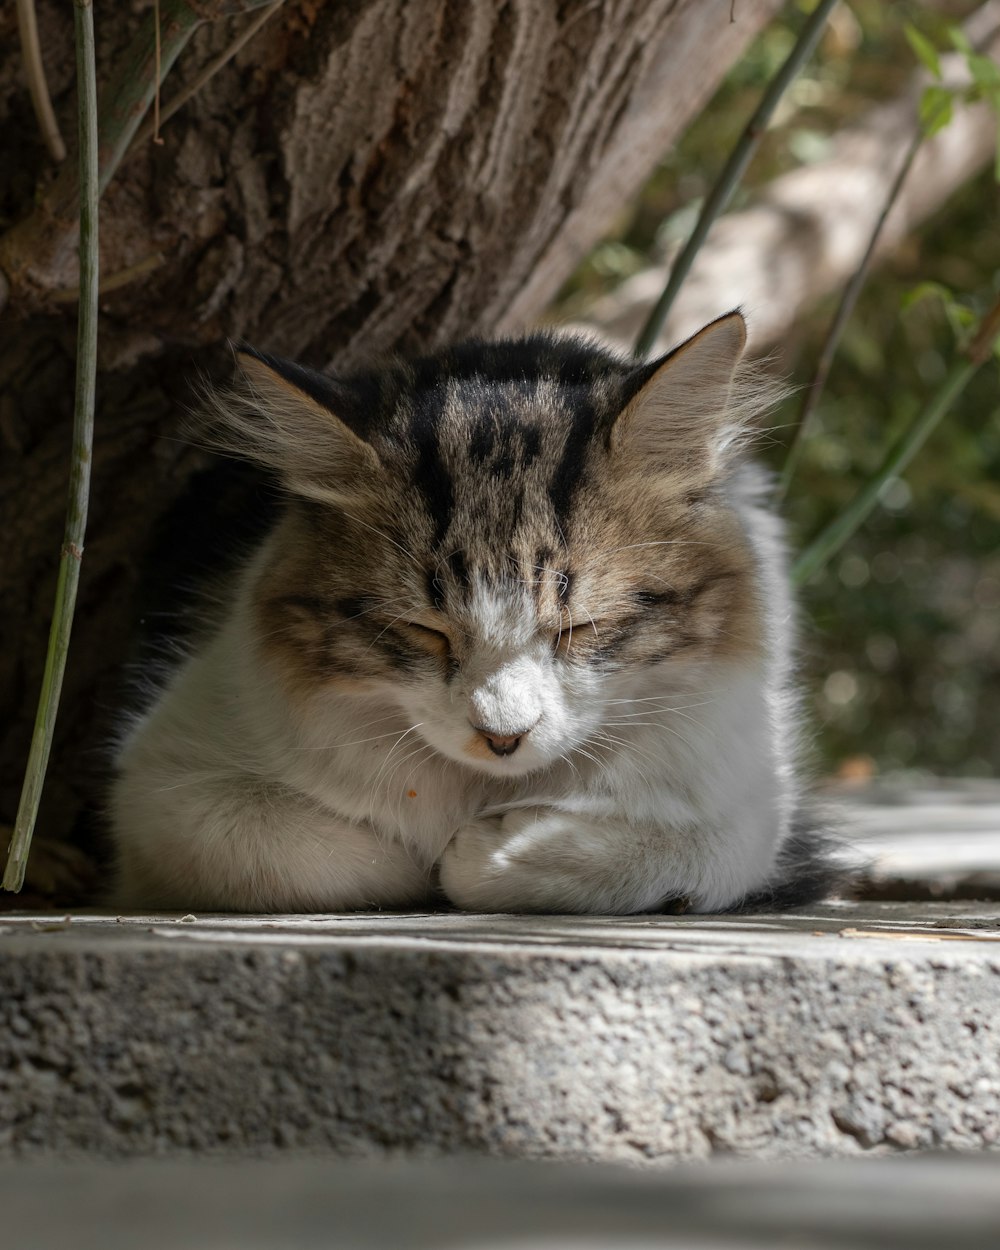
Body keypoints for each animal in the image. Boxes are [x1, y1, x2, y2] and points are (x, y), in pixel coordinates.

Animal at [109, 310, 835, 920]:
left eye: (580, 628)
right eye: (423, 631)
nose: (502, 737)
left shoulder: (749, 797)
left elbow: (685, 852)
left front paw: (488, 853)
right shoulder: (160, 781)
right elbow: (309, 853)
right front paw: (431, 862)